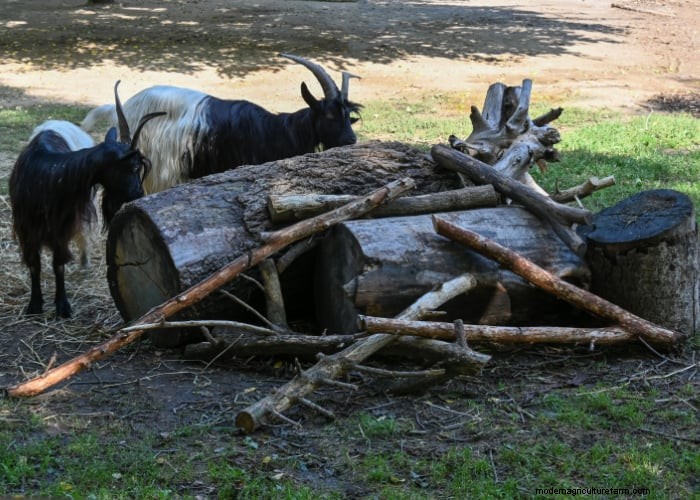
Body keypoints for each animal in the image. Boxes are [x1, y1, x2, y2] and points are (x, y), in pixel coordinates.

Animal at [9, 81, 165, 318]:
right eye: (133, 166)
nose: (138, 195)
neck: (48, 173)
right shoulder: (26, 228)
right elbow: (34, 264)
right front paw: (35, 304)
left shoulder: (62, 227)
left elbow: (59, 263)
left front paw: (62, 305)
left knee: (82, 234)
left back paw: (84, 261)